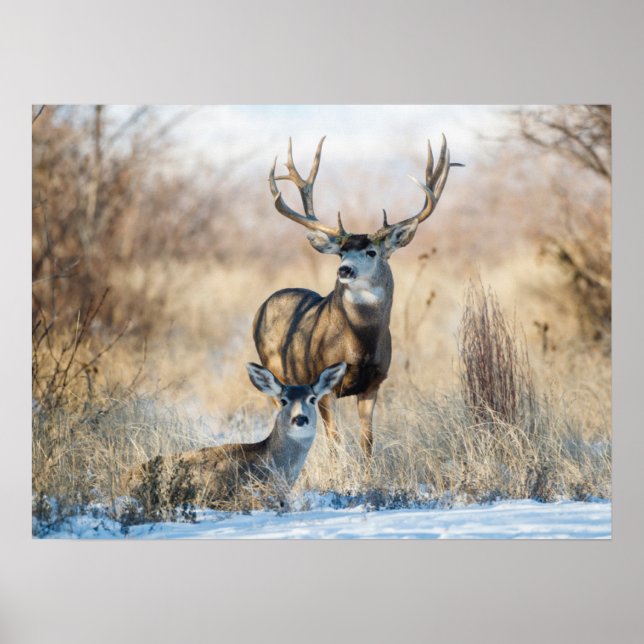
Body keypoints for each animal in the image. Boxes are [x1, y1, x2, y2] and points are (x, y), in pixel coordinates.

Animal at [253, 136, 459, 457]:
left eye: (371, 251)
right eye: (341, 252)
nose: (344, 269)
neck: (360, 344)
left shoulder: (374, 383)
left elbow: (367, 441)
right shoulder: (323, 385)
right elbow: (335, 442)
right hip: (276, 372)